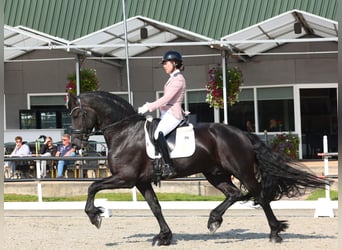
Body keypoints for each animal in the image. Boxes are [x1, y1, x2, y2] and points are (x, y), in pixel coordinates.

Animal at [68, 91, 328, 246]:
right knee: (235, 194)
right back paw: (214, 219)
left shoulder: (125, 178)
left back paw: (274, 232)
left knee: (260, 196)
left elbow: (92, 187)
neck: (124, 132)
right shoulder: (141, 181)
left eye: (76, 114)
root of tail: (242, 133)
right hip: (215, 173)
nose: (76, 143)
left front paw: (95, 215)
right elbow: (155, 207)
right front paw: (164, 237)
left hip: (241, 171)